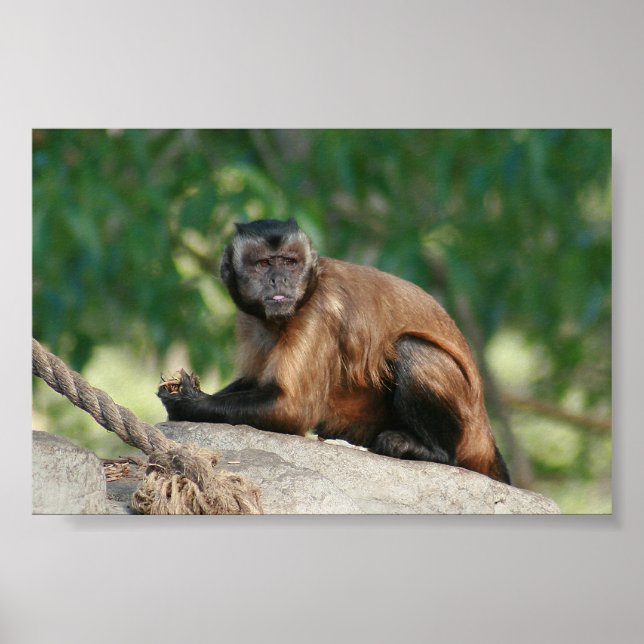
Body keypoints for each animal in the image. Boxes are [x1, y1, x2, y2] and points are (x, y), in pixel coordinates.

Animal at [157, 218, 511, 484]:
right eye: (263, 264)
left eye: (289, 263)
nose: (278, 279)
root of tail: (486, 434)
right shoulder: (250, 319)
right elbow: (259, 382)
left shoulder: (318, 310)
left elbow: (292, 409)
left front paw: (190, 403)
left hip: (467, 431)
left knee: (411, 348)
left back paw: (432, 452)